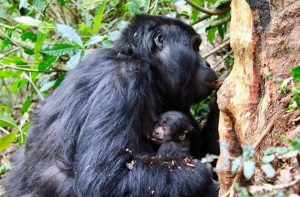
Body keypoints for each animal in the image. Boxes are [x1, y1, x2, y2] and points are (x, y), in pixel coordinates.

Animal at [4, 14, 219, 197]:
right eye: (195, 47)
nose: (207, 64)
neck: (144, 62)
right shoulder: (123, 78)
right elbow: (105, 178)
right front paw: (203, 179)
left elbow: (207, 151)